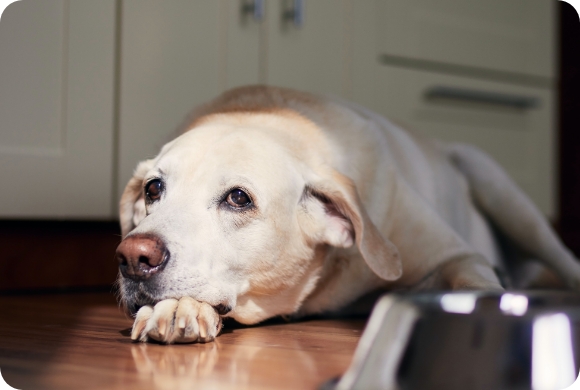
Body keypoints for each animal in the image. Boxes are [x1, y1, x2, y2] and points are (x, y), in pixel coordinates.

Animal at [115, 86, 580, 344]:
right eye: (153, 189)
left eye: (239, 198)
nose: (134, 257)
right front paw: (176, 310)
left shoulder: (456, 255)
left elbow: (474, 283)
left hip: (498, 186)